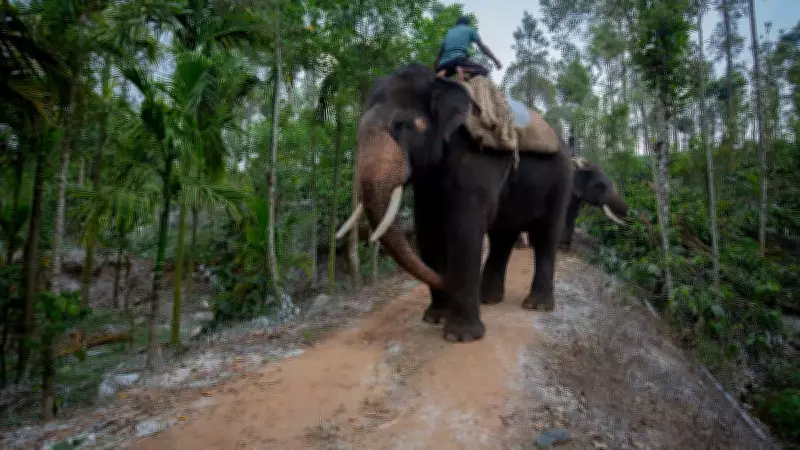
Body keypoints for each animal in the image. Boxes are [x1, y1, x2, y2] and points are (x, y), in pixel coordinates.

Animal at [335, 63, 574, 343]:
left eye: (401, 126)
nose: (446, 281)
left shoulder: (476, 158)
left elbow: (464, 230)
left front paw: (460, 336)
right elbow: (428, 232)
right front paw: (435, 318)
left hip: (562, 179)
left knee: (545, 235)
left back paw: (536, 305)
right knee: (502, 237)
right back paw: (488, 300)